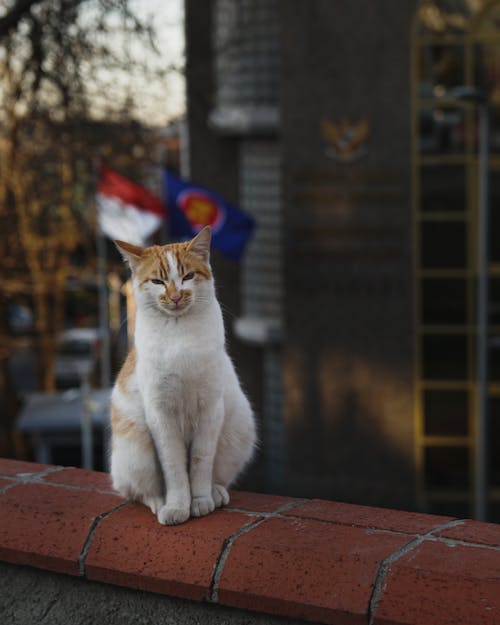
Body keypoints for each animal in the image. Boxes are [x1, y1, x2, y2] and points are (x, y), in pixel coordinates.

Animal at [110, 227, 258, 524]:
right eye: (157, 281)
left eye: (188, 276)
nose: (176, 296)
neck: (179, 335)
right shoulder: (161, 415)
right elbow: (175, 468)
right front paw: (178, 506)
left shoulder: (210, 409)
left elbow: (200, 463)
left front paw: (200, 500)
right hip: (136, 449)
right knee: (135, 491)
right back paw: (159, 502)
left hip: (238, 429)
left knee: (217, 474)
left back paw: (216, 493)